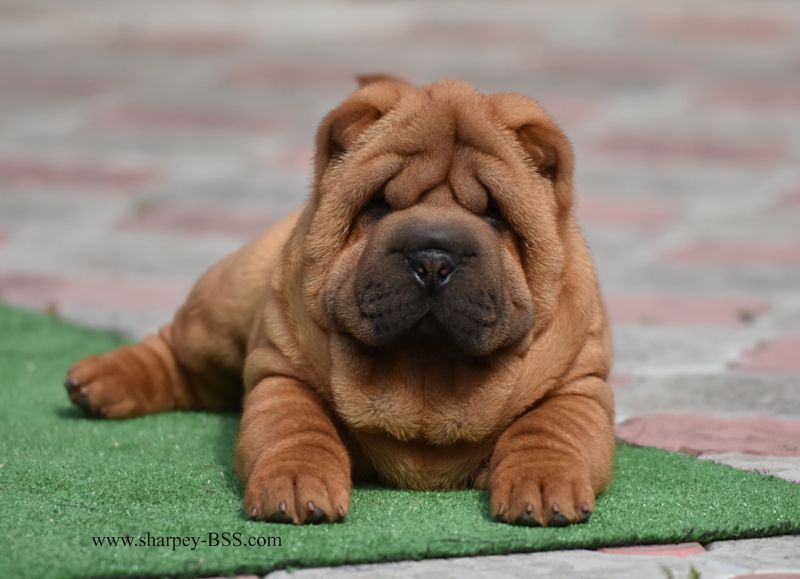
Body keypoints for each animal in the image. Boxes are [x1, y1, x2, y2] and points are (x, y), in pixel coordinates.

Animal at [65, 75, 616, 528]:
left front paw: (540, 486)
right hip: (223, 308)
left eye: (496, 215)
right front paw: (295, 485)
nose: (432, 258)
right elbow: (297, 429)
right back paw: (98, 381)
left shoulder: (579, 383)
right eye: (379, 205)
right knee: (177, 352)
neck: (425, 378)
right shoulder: (282, 370)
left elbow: (549, 430)